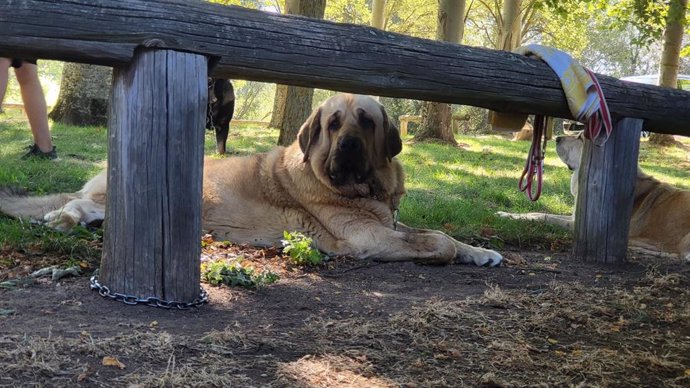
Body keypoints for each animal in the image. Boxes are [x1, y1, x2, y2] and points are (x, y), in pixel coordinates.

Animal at [2, 93, 502, 266]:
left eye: (366, 121)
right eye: (332, 124)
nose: (347, 147)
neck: (367, 190)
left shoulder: (391, 225)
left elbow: (436, 232)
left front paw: (481, 252)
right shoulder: (371, 237)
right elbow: (438, 241)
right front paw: (457, 253)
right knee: (78, 205)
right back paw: (62, 219)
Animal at [494, 132, 688, 262]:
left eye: (581, 138)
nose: (557, 138)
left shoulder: (575, 224)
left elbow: (544, 217)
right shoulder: (574, 217)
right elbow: (538, 214)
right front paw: (507, 214)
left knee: (683, 257)